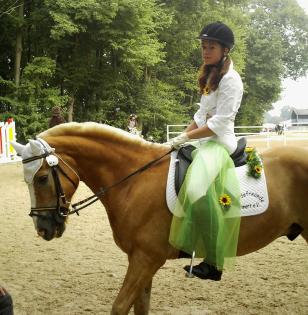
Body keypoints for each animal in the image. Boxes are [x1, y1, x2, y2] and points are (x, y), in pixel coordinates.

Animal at [12, 123, 308, 315]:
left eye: (41, 178)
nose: (43, 228)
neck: (134, 179)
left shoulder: (146, 259)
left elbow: (120, 307)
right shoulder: (141, 259)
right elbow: (141, 308)